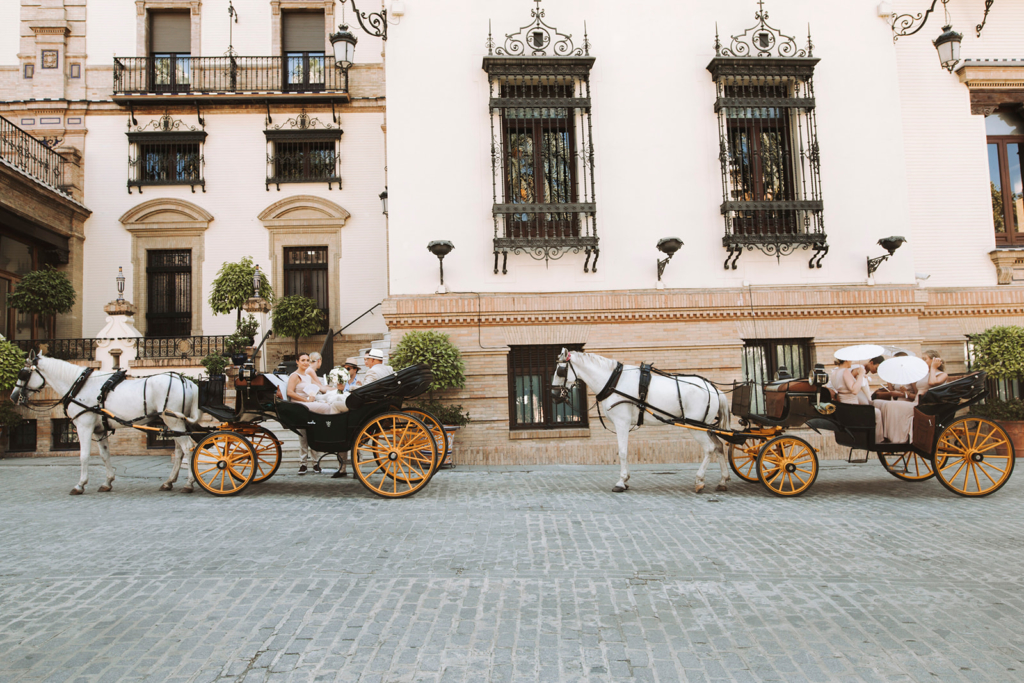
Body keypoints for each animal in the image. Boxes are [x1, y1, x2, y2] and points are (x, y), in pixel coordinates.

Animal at [11, 356, 200, 493]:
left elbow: (84, 455)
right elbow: (104, 455)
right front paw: (107, 482)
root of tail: (188, 382)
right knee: (179, 451)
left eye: (23, 374)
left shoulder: (84, 427)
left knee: (187, 448)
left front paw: (80, 484)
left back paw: (189, 483)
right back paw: (169, 482)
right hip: (174, 423)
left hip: (174, 421)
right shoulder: (99, 430)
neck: (79, 386)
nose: (13, 396)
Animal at [552, 350, 737, 493]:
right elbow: (624, 451)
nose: (554, 395)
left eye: (560, 370)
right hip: (705, 427)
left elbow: (622, 451)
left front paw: (621, 482)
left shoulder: (622, 423)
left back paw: (699, 480)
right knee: (719, 447)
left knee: (709, 448)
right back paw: (722, 480)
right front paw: (626, 479)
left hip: (695, 426)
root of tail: (714, 388)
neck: (614, 381)